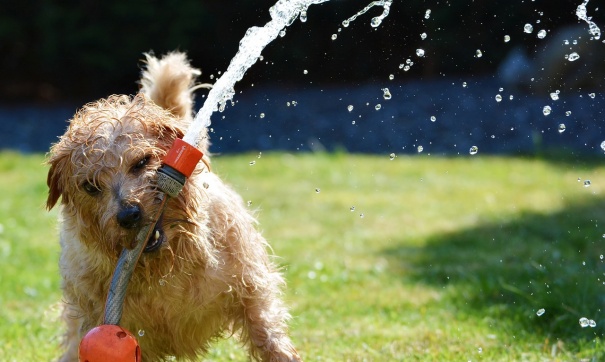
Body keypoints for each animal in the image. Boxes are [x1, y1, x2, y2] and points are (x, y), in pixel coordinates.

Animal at [46, 52, 300, 360]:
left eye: (142, 162)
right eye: (90, 186)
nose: (129, 215)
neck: (166, 266)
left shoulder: (251, 291)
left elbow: (268, 335)